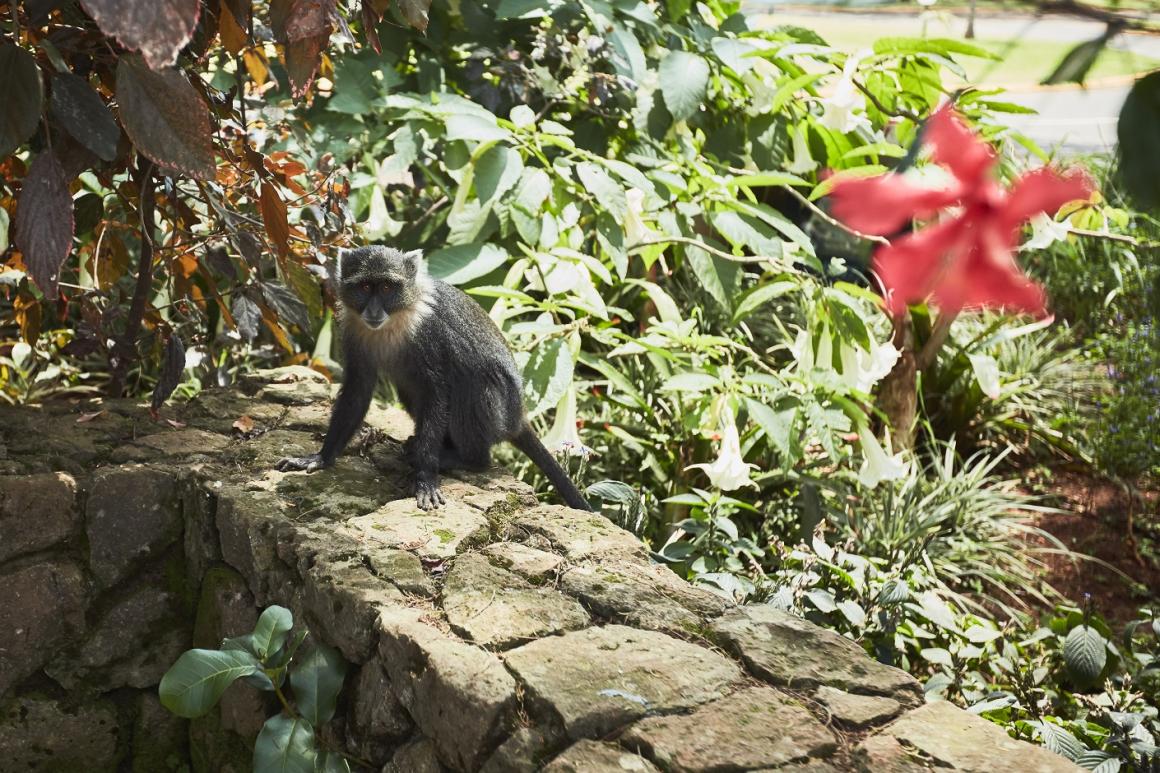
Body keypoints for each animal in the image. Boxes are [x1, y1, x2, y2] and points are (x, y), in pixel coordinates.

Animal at [275, 245, 592, 512]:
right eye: (365, 287)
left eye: (387, 287)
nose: (374, 310)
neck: (397, 318)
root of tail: (518, 418)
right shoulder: (354, 330)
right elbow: (357, 391)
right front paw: (320, 458)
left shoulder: (429, 334)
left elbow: (436, 392)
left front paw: (426, 477)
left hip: (498, 408)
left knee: (475, 386)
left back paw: (463, 458)